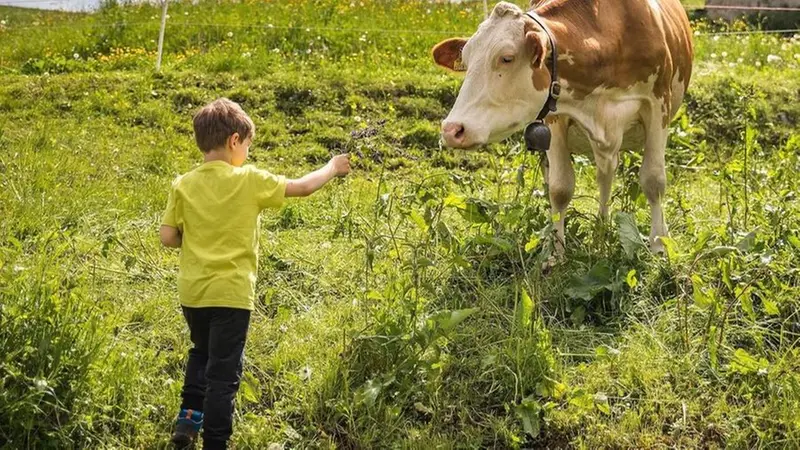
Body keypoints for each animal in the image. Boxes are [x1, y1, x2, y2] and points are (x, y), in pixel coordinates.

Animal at [434, 0, 692, 253]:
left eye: (506, 57)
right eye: (466, 61)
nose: (452, 130)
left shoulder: (658, 106)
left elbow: (653, 180)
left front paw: (659, 246)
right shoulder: (554, 116)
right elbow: (559, 188)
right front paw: (555, 252)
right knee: (603, 173)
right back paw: (601, 225)